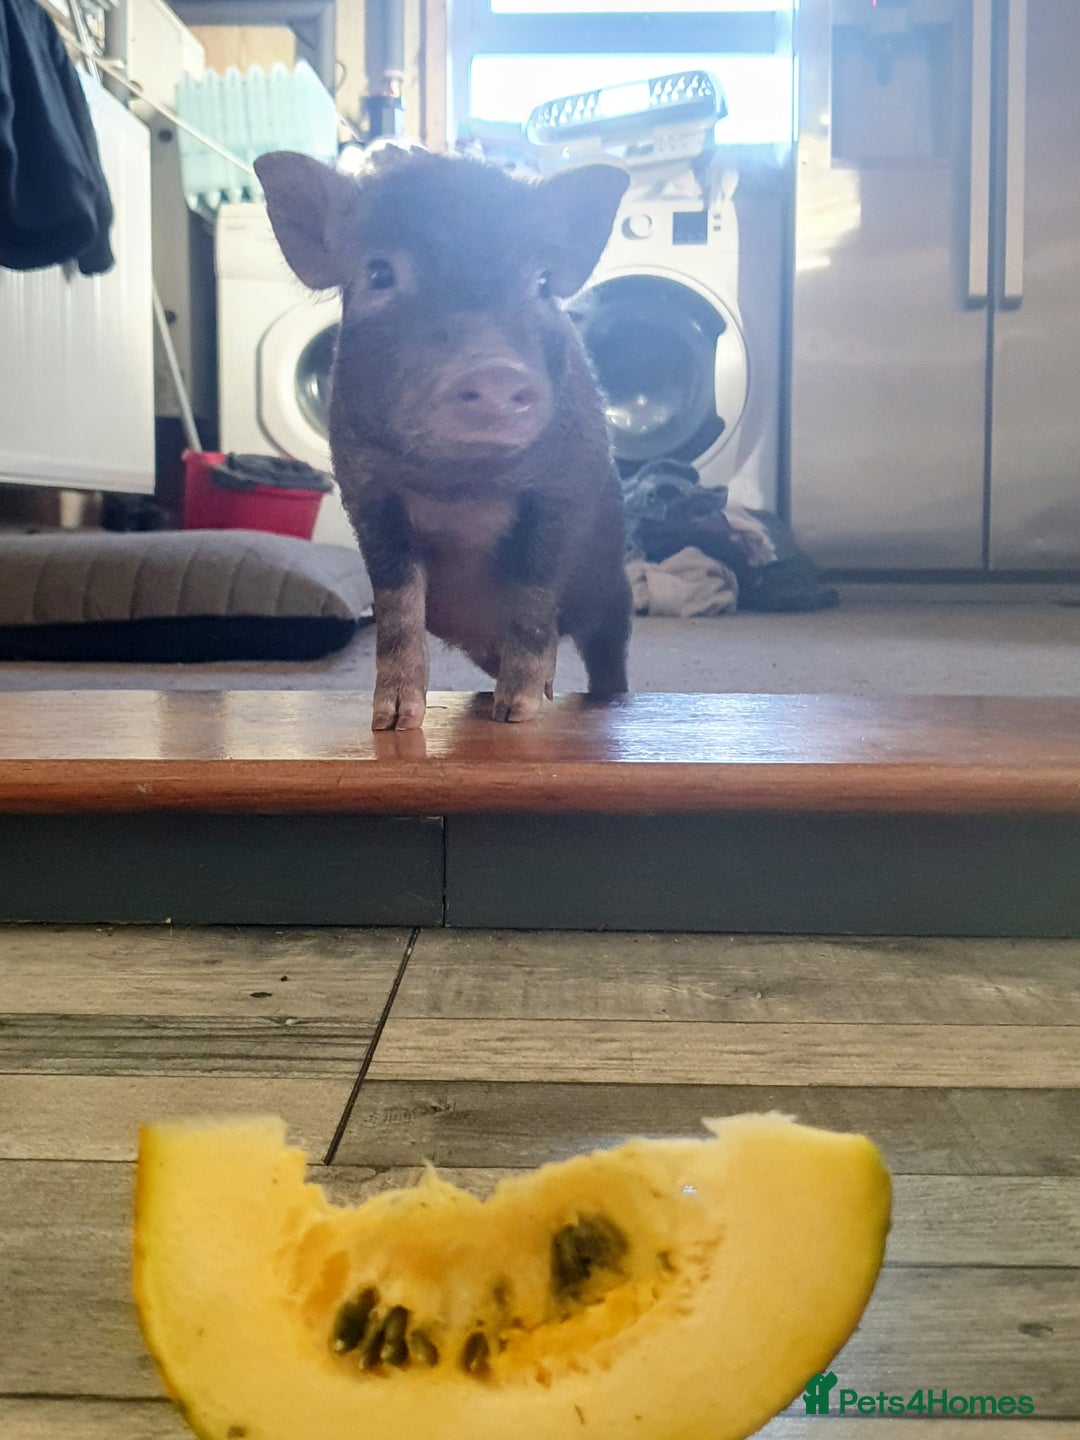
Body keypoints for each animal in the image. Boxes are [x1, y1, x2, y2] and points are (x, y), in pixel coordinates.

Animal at [252, 145, 633, 730]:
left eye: (542, 283)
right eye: (379, 272)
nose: (494, 371)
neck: (461, 485)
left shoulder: (565, 491)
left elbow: (535, 596)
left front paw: (517, 715)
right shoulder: (368, 497)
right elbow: (397, 609)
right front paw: (392, 721)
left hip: (613, 589)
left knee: (606, 649)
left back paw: (600, 699)